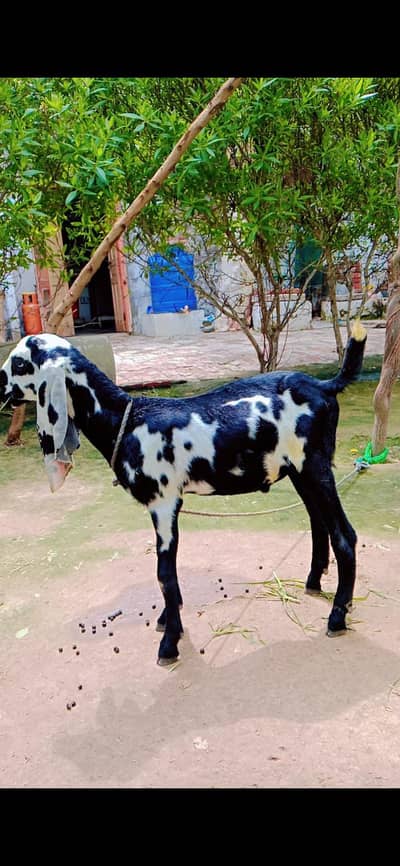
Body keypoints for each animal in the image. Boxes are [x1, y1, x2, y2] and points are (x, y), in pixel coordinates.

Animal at [0, 322, 367, 665]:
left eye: (19, 363)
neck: (126, 420)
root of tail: (325, 386)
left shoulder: (163, 501)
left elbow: (164, 573)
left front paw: (170, 643)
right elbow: (167, 575)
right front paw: (167, 618)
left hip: (314, 464)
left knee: (344, 533)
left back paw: (337, 617)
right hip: (299, 469)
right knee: (318, 521)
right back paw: (313, 582)